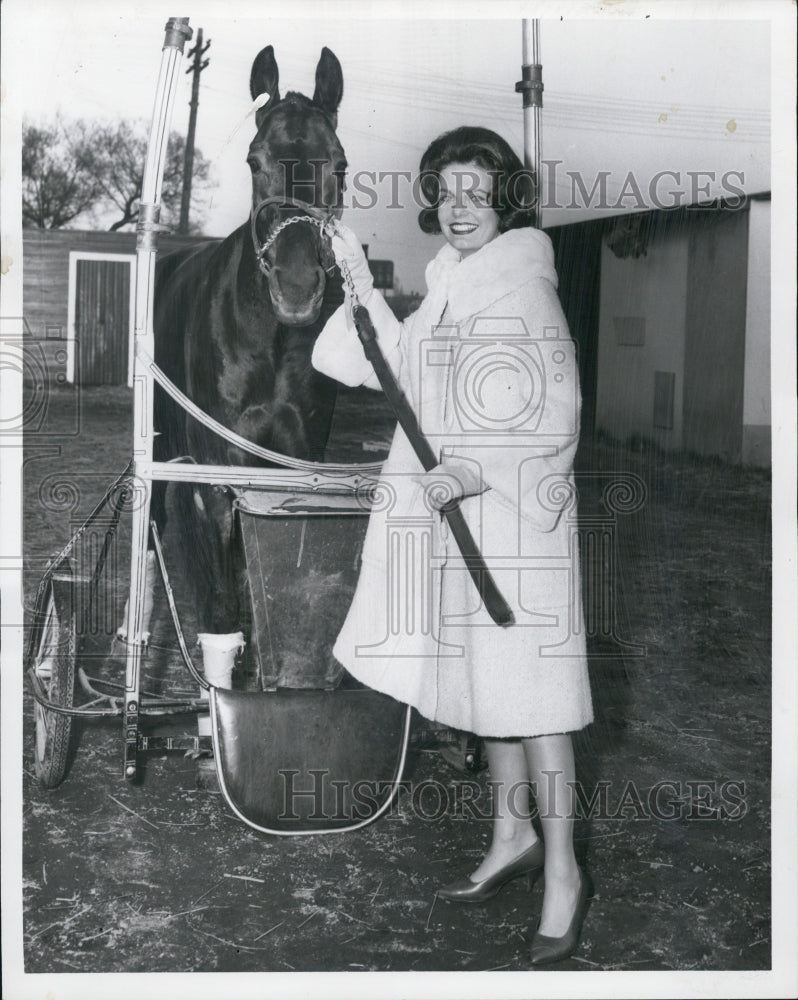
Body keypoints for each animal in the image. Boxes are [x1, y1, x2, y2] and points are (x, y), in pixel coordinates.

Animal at [138, 45, 350, 672]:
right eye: (255, 161)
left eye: (340, 165)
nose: (297, 288)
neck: (270, 345)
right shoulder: (216, 485)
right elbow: (222, 618)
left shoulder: (292, 472)